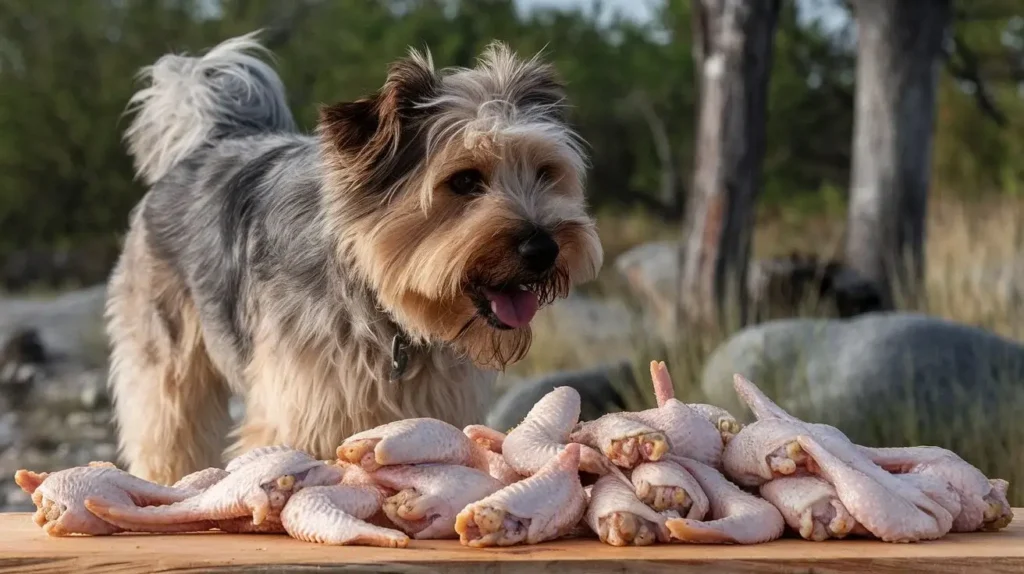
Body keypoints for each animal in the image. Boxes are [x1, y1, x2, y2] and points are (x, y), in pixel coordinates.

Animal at [103, 32, 598, 482]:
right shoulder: (298, 413)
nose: (544, 249)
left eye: (545, 172)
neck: (382, 306)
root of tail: (206, 143)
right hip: (165, 369)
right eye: (463, 181)